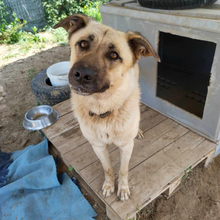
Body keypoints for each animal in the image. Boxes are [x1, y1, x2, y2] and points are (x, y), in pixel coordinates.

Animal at [53, 14, 160, 201]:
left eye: (114, 55)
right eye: (83, 44)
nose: (81, 74)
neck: (103, 110)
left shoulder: (126, 147)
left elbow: (123, 170)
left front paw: (122, 189)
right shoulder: (98, 146)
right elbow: (107, 168)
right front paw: (109, 185)